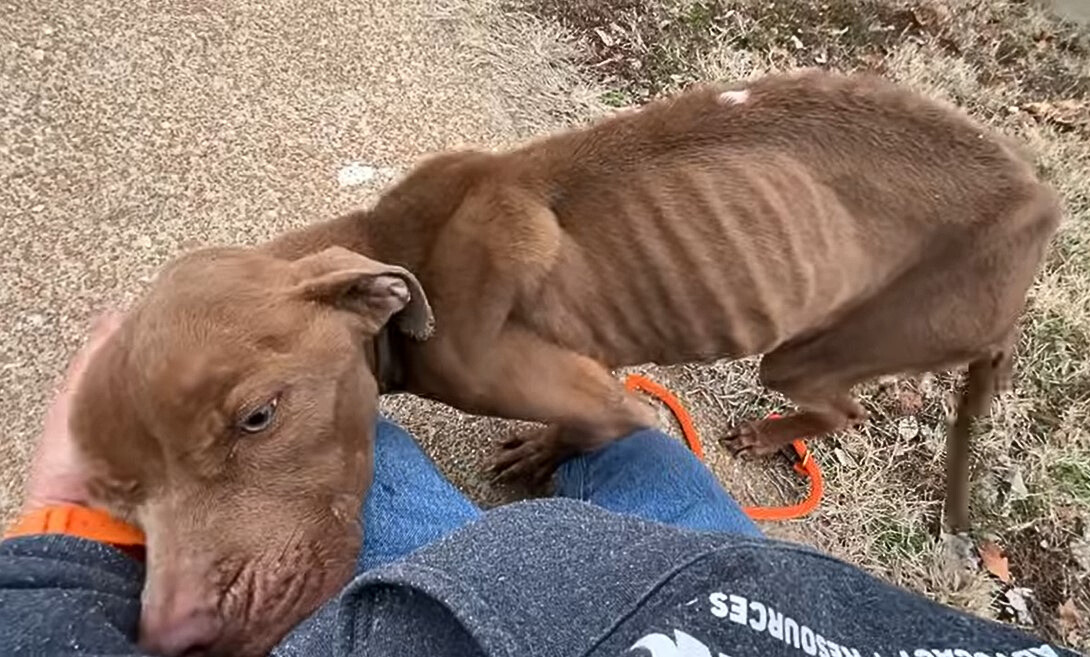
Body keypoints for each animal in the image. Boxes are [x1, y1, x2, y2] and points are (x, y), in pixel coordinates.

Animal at [68, 69, 1055, 653]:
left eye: (258, 417)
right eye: (116, 493)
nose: (171, 632)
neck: (401, 251)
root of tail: (1040, 204)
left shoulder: (601, 401)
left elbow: (578, 431)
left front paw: (541, 457)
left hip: (830, 345)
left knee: (837, 403)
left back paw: (771, 434)